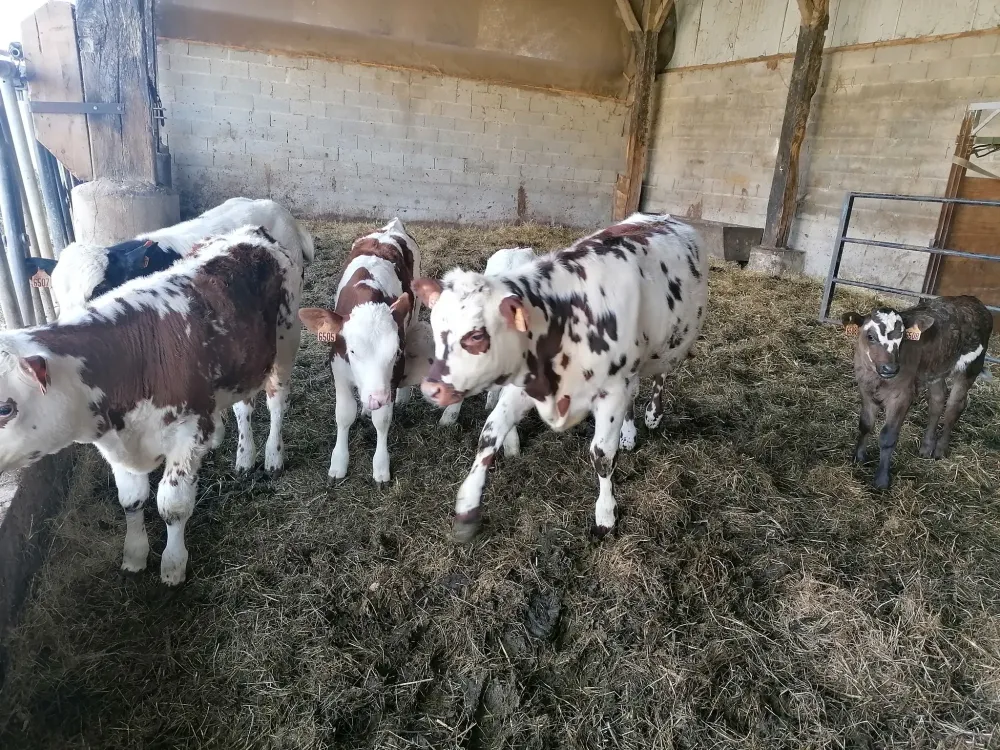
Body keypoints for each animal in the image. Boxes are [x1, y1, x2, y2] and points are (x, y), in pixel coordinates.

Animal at [0, 224, 308, 585]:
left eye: (5, 408)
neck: (133, 357)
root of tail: (251, 232)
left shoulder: (186, 434)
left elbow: (172, 505)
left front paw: (172, 565)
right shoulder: (114, 440)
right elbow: (131, 500)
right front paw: (134, 554)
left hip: (286, 340)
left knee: (276, 403)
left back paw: (273, 456)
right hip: (245, 363)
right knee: (242, 407)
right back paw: (244, 455)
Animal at [298, 218, 420, 485]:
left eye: (395, 352)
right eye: (352, 351)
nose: (377, 397)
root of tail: (390, 227)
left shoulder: (391, 378)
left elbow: (382, 419)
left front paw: (381, 466)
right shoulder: (339, 370)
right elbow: (344, 415)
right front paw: (338, 462)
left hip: (413, 315)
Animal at [412, 212, 708, 542]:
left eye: (476, 335)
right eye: (436, 327)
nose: (431, 388)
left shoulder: (612, 391)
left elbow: (602, 455)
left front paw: (606, 515)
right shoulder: (527, 383)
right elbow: (489, 435)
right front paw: (468, 505)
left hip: (669, 345)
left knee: (660, 376)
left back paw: (653, 414)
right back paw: (629, 433)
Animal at [842, 295, 993, 489]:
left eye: (902, 339)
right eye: (870, 336)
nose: (890, 368)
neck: (877, 378)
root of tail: (973, 300)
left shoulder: (902, 396)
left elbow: (888, 437)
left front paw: (882, 480)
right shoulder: (865, 389)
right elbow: (866, 425)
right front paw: (859, 458)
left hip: (971, 367)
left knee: (954, 406)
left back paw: (940, 450)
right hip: (936, 369)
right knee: (937, 399)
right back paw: (926, 447)